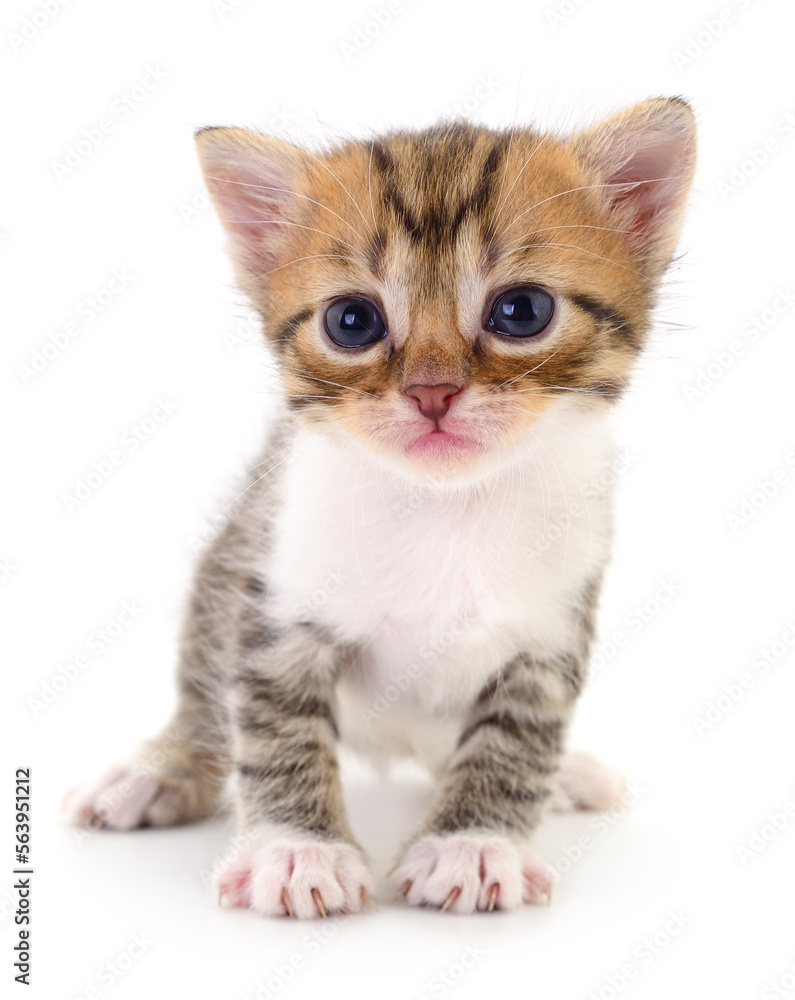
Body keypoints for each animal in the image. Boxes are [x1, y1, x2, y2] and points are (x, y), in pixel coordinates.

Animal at [63, 97, 696, 916]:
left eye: (522, 311)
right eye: (352, 322)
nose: (432, 392)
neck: (444, 506)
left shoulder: (550, 628)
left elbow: (516, 737)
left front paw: (473, 841)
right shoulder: (273, 591)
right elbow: (273, 724)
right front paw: (298, 850)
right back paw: (160, 768)